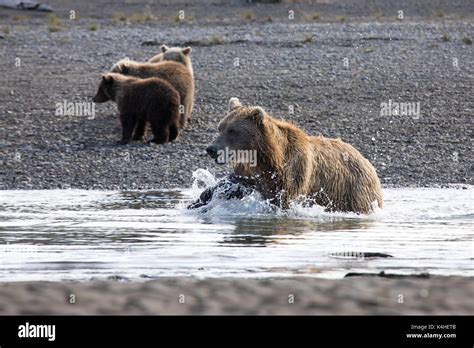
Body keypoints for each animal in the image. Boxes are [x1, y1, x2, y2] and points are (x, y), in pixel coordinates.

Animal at [189, 96, 382, 213]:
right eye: (220, 127)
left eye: (232, 130)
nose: (211, 148)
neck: (268, 158)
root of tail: (366, 161)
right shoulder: (251, 175)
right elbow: (228, 185)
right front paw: (196, 202)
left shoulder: (292, 174)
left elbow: (282, 201)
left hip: (353, 191)